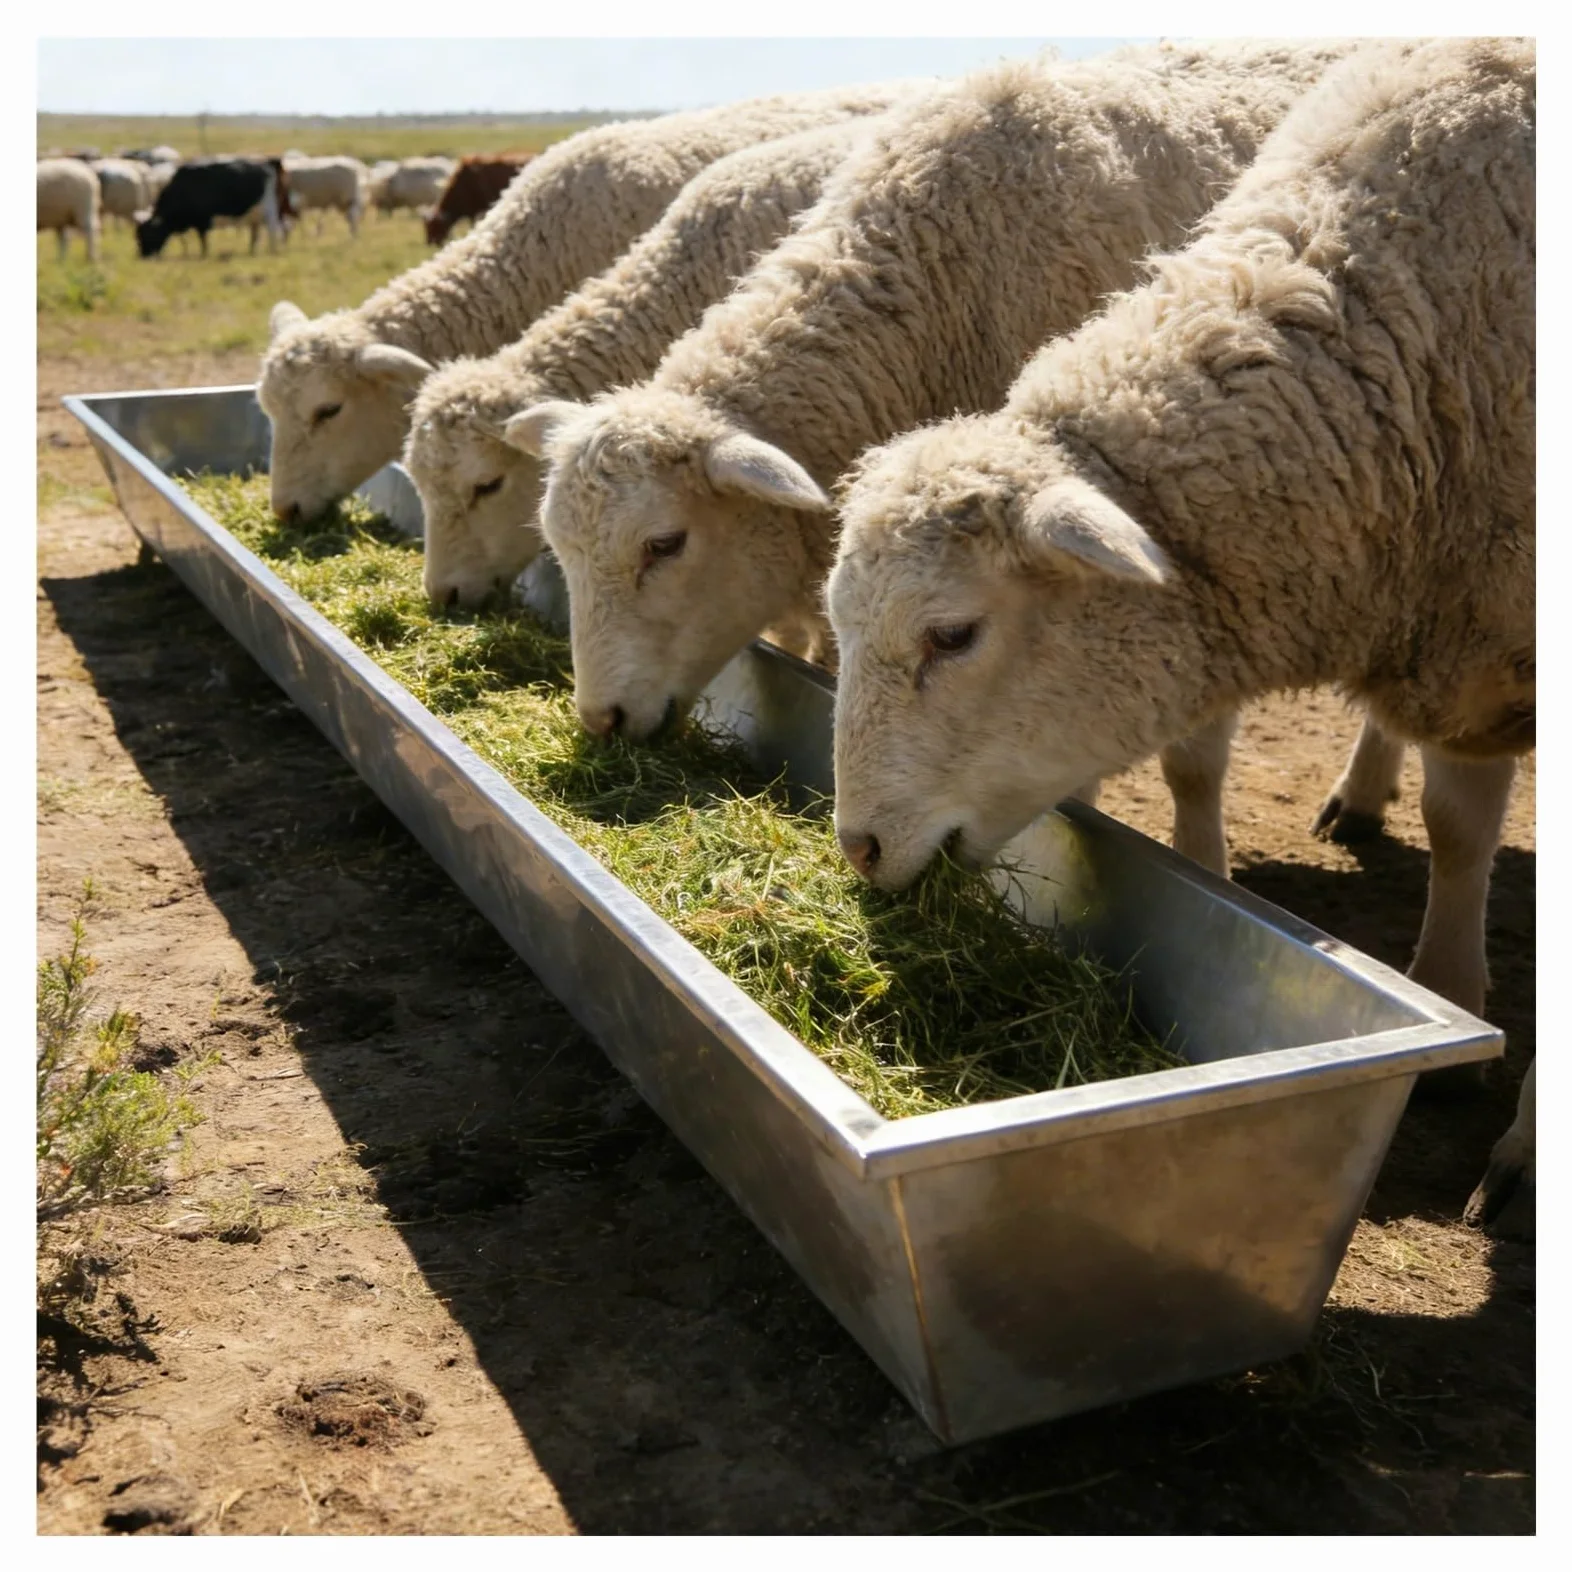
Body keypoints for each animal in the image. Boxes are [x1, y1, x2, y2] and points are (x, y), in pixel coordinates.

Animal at [821, 39, 1533, 1216]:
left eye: (953, 635)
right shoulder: (1461, 634)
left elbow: (1460, 829)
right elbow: (1447, 823)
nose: (858, 849)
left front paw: (1514, 1134)